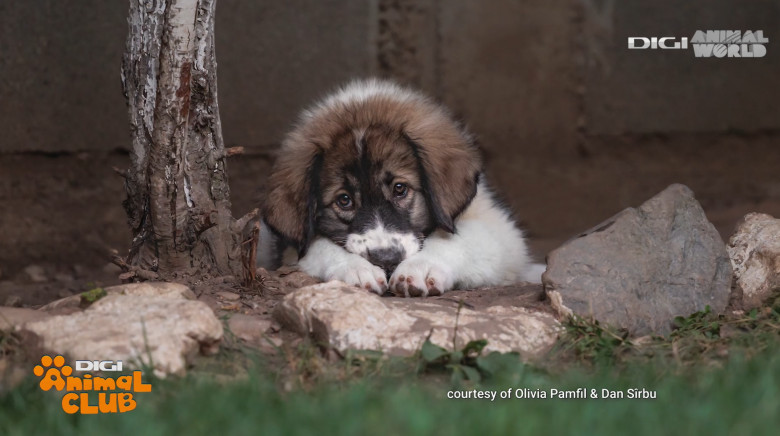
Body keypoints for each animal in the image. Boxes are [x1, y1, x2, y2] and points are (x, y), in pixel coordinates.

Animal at [258, 78, 544, 296]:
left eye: (399, 189)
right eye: (344, 200)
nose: (386, 261)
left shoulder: (502, 233)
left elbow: (458, 239)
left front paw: (421, 267)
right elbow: (319, 246)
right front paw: (354, 269)